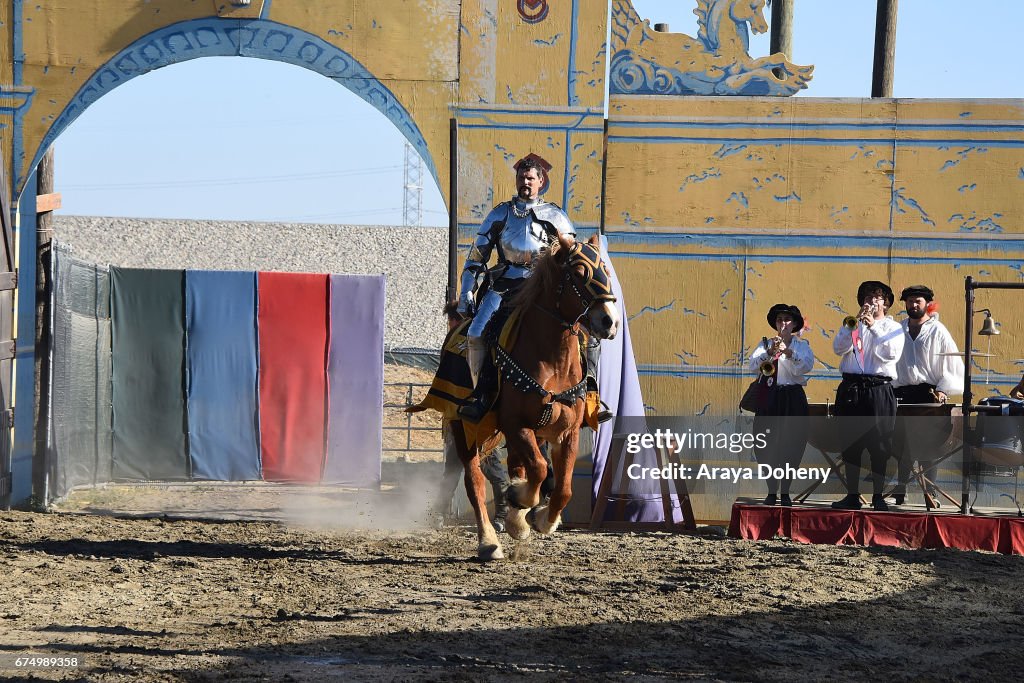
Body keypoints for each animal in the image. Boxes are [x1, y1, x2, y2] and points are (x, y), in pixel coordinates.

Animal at [448, 235, 614, 561]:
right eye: (579, 273)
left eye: (605, 271)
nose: (608, 322)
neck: (554, 362)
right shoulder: (515, 424)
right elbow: (538, 469)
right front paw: (521, 503)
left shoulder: (567, 432)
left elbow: (563, 487)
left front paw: (540, 519)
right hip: (463, 428)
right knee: (474, 480)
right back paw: (489, 541)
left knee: (519, 466)